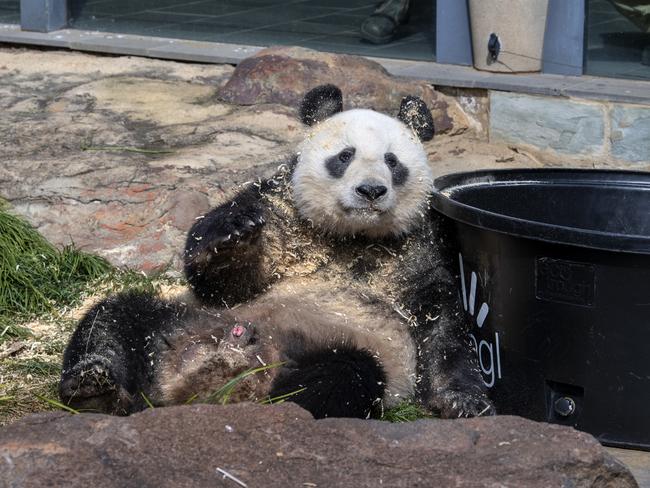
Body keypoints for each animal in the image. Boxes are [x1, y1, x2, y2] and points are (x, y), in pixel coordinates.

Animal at [60, 86, 492, 420]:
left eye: (392, 161)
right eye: (345, 156)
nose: (371, 191)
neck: (350, 238)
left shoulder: (418, 250)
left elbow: (443, 327)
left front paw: (463, 401)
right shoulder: (281, 210)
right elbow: (221, 282)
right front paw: (233, 237)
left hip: (340, 352)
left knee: (347, 374)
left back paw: (269, 398)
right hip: (183, 319)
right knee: (113, 320)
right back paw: (95, 388)